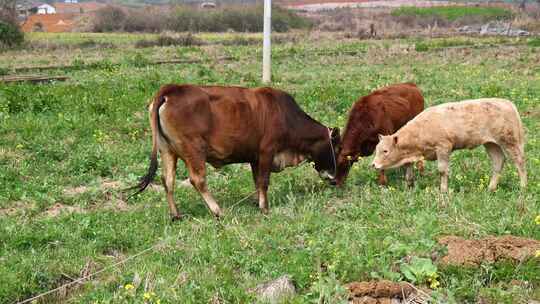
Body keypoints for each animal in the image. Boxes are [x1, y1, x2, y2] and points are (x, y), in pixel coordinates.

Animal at [132, 84, 340, 220]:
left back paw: (176, 215)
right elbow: (264, 182)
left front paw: (257, 202)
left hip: (167, 150)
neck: (286, 116)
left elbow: (257, 181)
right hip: (194, 149)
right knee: (197, 180)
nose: (335, 178)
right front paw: (265, 208)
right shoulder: (267, 151)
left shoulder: (255, 158)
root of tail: (170, 89)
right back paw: (217, 211)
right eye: (337, 149)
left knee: (168, 180)